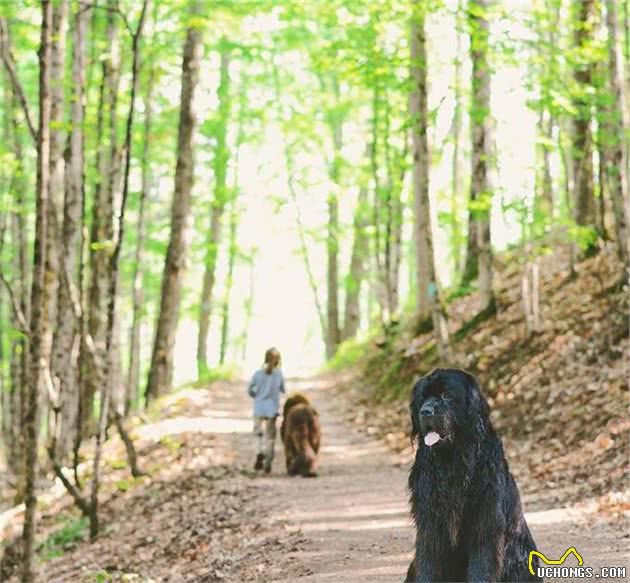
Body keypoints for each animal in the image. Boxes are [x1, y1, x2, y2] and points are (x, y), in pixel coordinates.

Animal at [408, 370, 544, 583]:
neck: (454, 462)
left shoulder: (485, 519)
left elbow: (482, 563)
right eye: (423, 398)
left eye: (446, 396)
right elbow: (428, 560)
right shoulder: (429, 520)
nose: (425, 411)